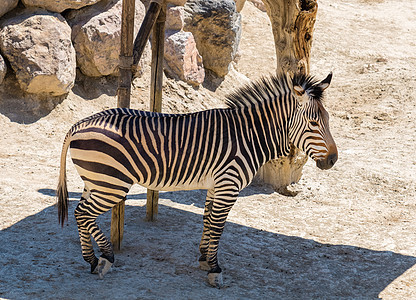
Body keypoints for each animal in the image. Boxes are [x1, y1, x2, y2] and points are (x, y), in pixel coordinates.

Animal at [57, 71, 338, 288]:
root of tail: (78, 125)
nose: (333, 160)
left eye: (327, 120)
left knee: (80, 213)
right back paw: (106, 258)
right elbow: (219, 225)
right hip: (111, 184)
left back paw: (92, 260)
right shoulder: (228, 185)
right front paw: (215, 270)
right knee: (84, 213)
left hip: (95, 181)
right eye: (313, 123)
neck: (249, 136)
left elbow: (207, 220)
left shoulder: (216, 185)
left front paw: (204, 259)